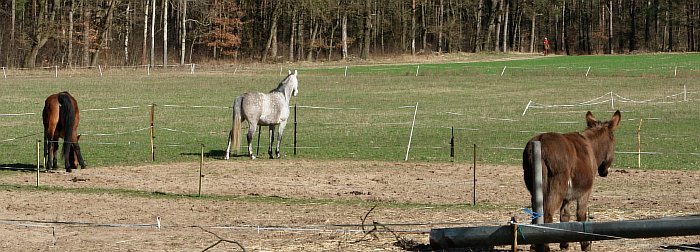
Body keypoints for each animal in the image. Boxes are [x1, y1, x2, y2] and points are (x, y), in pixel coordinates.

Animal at [524, 110, 620, 250]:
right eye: (613, 143)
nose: (604, 172)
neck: (591, 148)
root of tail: (541, 140)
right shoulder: (585, 192)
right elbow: (581, 215)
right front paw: (585, 244)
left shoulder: (567, 196)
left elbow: (565, 216)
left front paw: (565, 244)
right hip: (555, 189)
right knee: (547, 215)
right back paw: (544, 247)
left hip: (535, 189)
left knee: (535, 215)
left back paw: (534, 245)